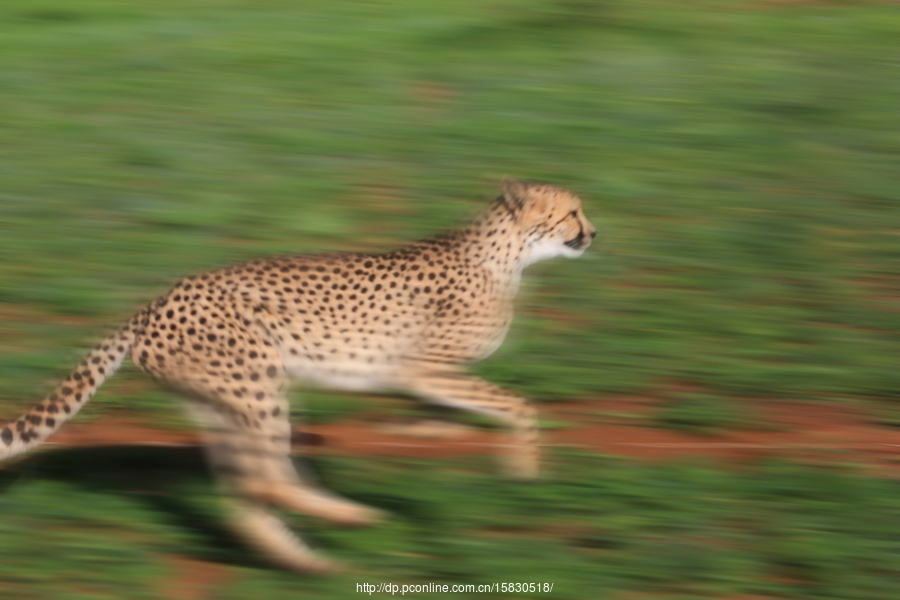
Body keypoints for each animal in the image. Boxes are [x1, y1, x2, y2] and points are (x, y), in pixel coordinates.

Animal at [0, 180, 596, 576]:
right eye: (571, 212)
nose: (593, 232)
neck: (505, 254)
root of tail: (156, 301)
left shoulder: (427, 377)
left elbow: (465, 410)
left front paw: (438, 436)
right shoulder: (420, 368)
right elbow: (517, 405)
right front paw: (524, 470)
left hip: (221, 403)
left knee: (245, 493)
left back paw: (310, 561)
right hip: (258, 382)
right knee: (265, 482)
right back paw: (351, 516)